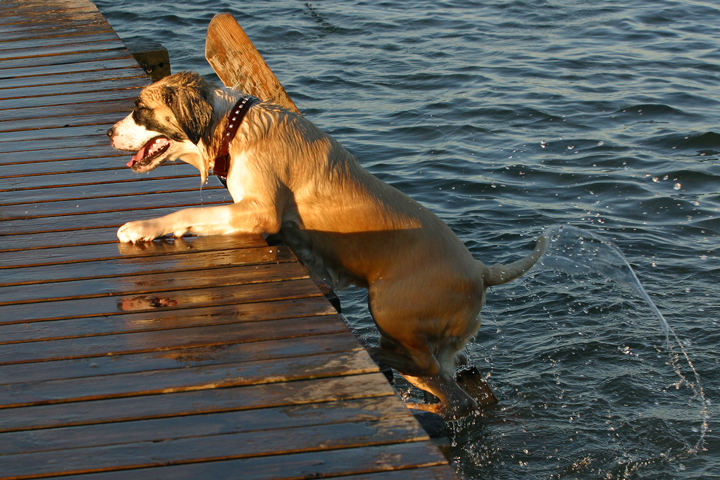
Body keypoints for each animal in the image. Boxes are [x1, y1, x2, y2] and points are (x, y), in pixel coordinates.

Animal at [107, 70, 544, 416]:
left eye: (139, 108)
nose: (109, 133)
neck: (231, 125)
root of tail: (482, 271)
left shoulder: (258, 211)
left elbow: (186, 212)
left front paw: (142, 226)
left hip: (390, 307)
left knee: (425, 365)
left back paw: (374, 355)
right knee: (452, 393)